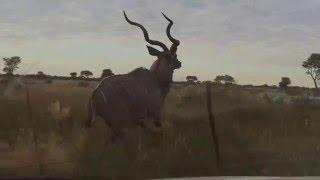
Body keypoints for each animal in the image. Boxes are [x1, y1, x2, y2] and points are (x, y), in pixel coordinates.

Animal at [84, 11, 180, 143]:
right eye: (173, 55)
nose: (179, 63)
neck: (155, 79)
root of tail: (95, 93)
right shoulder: (153, 115)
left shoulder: (141, 121)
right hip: (117, 125)